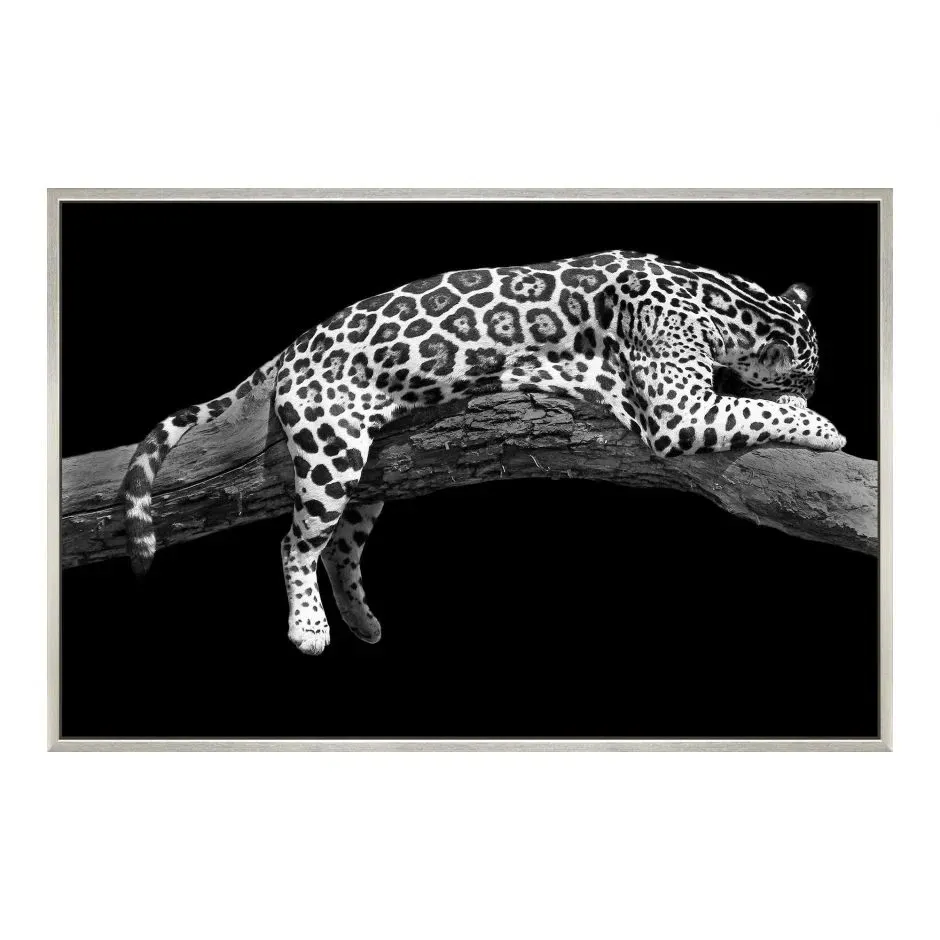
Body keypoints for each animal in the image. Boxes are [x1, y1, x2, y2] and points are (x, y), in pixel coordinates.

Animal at [121, 250, 845, 655]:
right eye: (808, 374)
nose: (814, 390)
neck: (725, 300)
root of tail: (297, 342)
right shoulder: (679, 412)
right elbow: (752, 408)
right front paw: (822, 424)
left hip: (367, 470)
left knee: (340, 548)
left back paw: (362, 621)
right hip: (331, 448)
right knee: (296, 543)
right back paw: (311, 628)